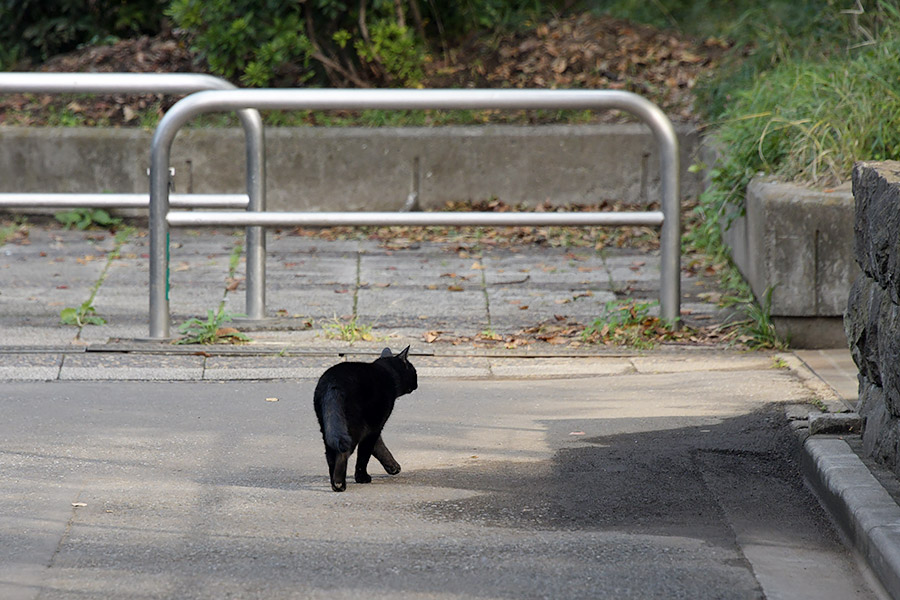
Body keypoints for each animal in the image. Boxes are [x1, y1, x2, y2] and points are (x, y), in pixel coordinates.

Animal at [312, 346, 418, 492]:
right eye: (414, 371)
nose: (417, 382)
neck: (388, 373)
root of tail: (333, 383)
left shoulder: (372, 428)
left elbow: (379, 447)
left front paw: (393, 467)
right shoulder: (374, 427)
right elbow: (365, 454)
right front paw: (362, 477)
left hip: (327, 427)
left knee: (330, 454)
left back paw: (334, 483)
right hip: (353, 429)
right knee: (343, 453)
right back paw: (339, 483)